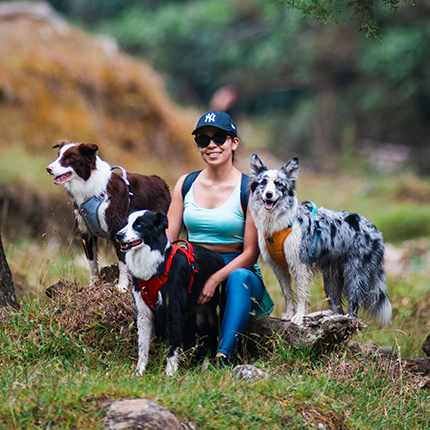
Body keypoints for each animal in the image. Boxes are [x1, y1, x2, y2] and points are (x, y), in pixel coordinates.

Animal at [45, 141, 170, 292]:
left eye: (69, 158)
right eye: (58, 156)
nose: (48, 169)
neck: (91, 189)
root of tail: (161, 181)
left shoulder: (119, 229)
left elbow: (122, 263)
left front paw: (122, 286)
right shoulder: (85, 233)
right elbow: (92, 263)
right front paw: (93, 285)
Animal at [117, 210, 225, 374]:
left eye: (139, 225)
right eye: (126, 223)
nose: (118, 235)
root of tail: (219, 257)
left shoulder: (173, 310)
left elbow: (173, 345)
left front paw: (170, 373)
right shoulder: (143, 312)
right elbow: (143, 347)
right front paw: (139, 372)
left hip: (216, 311)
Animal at [249, 155, 394, 326]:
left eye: (279, 184)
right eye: (263, 182)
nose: (269, 194)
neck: (277, 223)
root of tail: (374, 229)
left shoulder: (300, 264)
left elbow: (301, 293)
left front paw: (298, 316)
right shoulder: (278, 266)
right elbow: (288, 293)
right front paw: (289, 314)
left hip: (355, 273)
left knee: (353, 305)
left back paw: (346, 319)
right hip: (331, 277)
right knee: (337, 306)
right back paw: (328, 318)